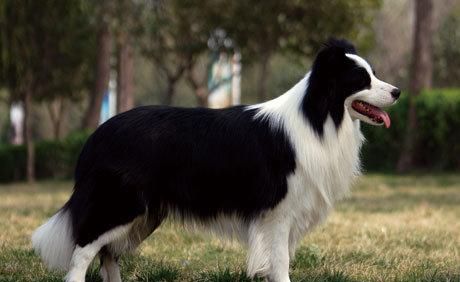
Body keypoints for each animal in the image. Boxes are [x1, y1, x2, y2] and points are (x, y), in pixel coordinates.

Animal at [31, 39, 398, 282]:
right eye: (361, 80)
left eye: (375, 73)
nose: (397, 92)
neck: (319, 118)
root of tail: (97, 135)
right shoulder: (278, 214)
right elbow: (280, 263)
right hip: (118, 204)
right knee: (83, 252)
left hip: (144, 215)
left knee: (108, 255)